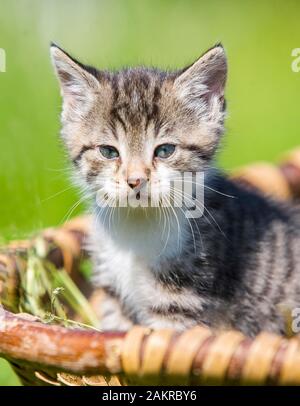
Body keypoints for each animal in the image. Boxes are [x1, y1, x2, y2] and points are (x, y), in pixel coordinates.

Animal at [50, 43, 300, 336]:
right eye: (109, 152)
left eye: (165, 150)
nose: (135, 180)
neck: (137, 228)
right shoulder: (115, 298)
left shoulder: (181, 301)